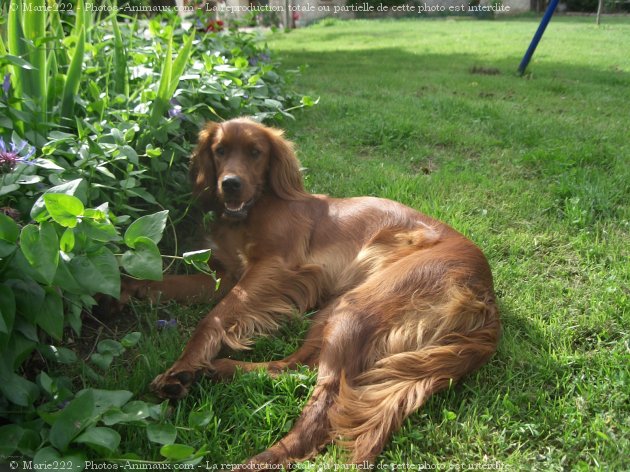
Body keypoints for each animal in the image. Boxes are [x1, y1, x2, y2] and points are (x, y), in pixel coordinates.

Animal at [127, 119, 504, 468]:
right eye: (219, 151)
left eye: (255, 152)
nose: (230, 184)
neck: (252, 211)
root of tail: (485, 297)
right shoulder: (228, 274)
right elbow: (167, 283)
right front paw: (128, 290)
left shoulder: (273, 267)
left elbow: (214, 318)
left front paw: (180, 366)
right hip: (335, 307)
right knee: (298, 365)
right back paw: (221, 369)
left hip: (359, 307)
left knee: (324, 406)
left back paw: (260, 457)